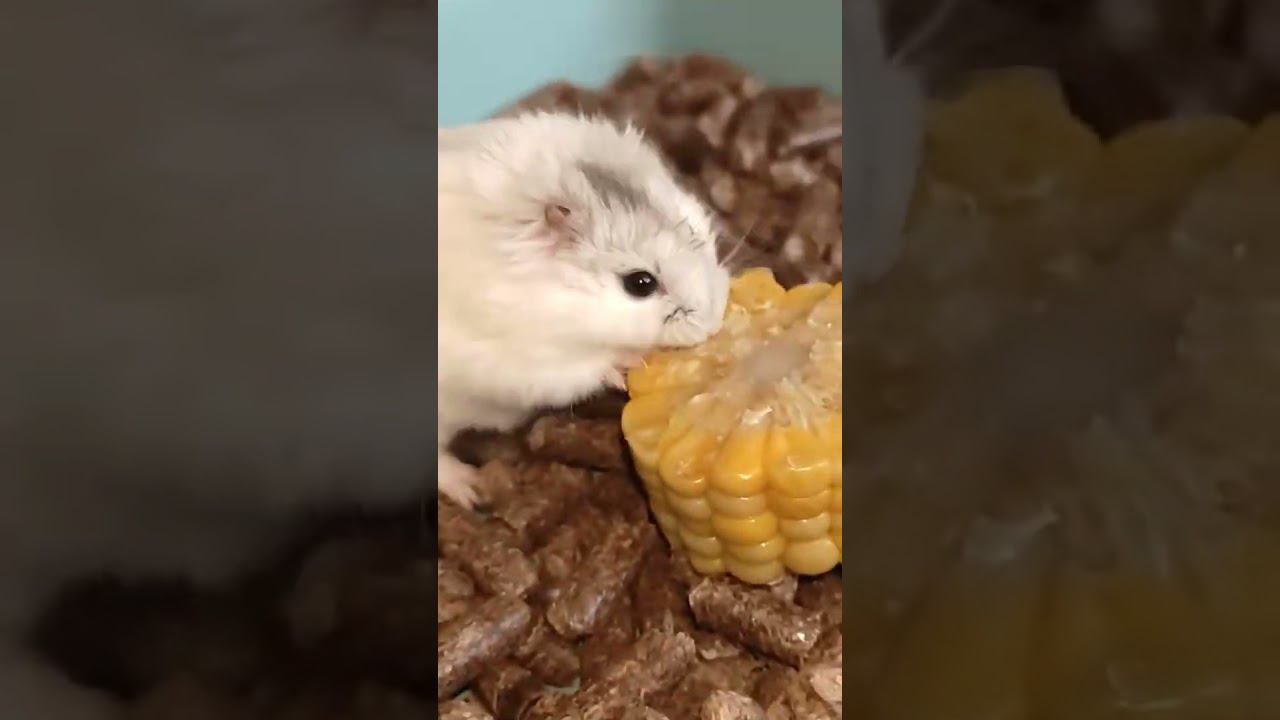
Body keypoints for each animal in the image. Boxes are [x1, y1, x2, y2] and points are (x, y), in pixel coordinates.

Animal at [437, 113, 731, 506]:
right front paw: (630, 362)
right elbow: (590, 368)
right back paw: (472, 490)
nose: (713, 324)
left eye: (697, 233)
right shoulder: (536, 363)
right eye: (640, 283)